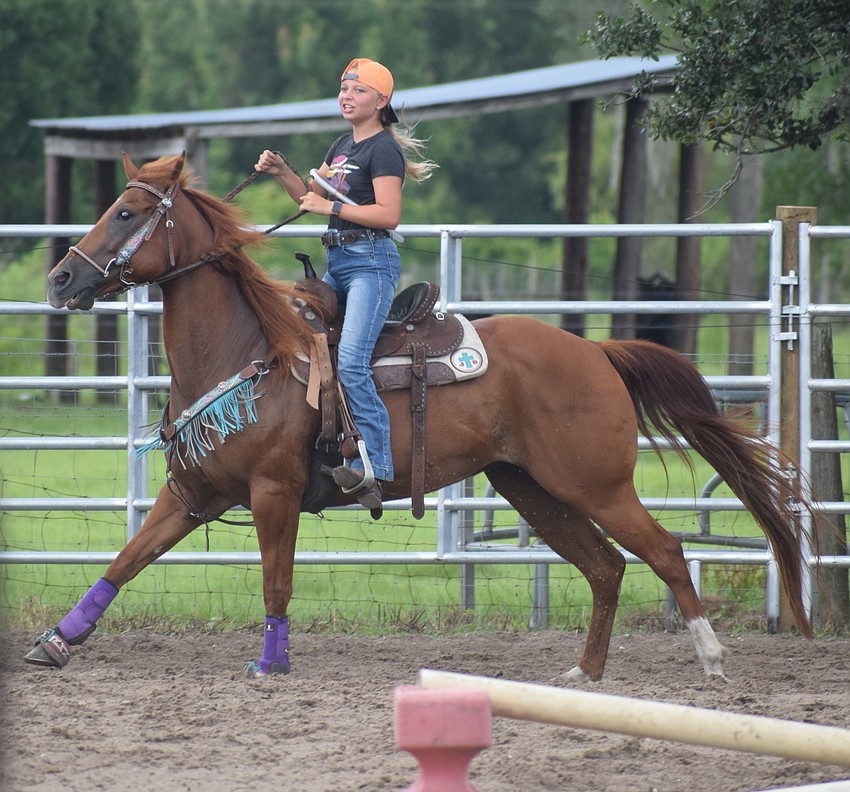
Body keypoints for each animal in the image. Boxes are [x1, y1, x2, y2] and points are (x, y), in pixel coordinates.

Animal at [31, 152, 812, 680]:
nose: (61, 278)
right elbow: (126, 560)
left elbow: (276, 581)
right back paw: (584, 673)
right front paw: (56, 641)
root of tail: (596, 351)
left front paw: (271, 662)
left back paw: (710, 658)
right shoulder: (191, 493)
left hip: (598, 484)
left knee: (665, 553)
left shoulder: (273, 494)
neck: (249, 350)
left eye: (127, 213)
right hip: (530, 487)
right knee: (607, 567)